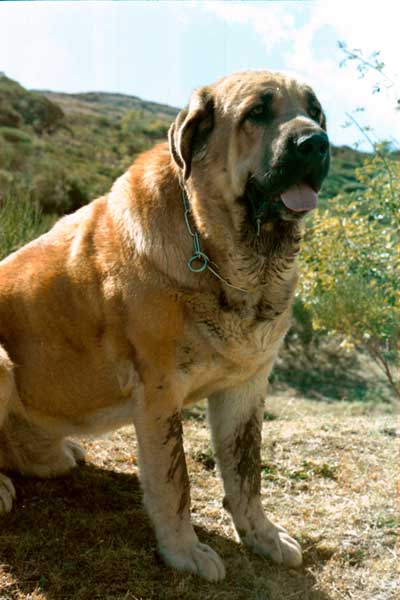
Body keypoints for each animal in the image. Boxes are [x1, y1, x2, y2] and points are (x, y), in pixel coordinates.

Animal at [0, 70, 330, 580]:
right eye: (257, 112)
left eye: (315, 113)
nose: (316, 143)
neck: (222, 256)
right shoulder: (159, 392)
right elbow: (175, 482)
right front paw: (185, 552)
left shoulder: (246, 387)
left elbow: (247, 472)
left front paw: (263, 536)